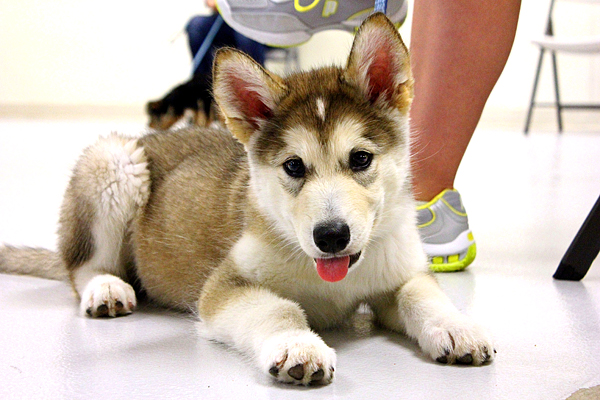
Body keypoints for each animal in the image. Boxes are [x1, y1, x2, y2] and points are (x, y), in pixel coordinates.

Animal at [2, 13, 494, 384]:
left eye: (360, 159)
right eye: (293, 167)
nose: (331, 237)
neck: (335, 279)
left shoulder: (400, 273)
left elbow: (421, 295)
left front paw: (457, 327)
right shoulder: (226, 286)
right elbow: (280, 309)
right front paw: (299, 345)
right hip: (114, 162)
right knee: (82, 267)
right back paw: (105, 288)